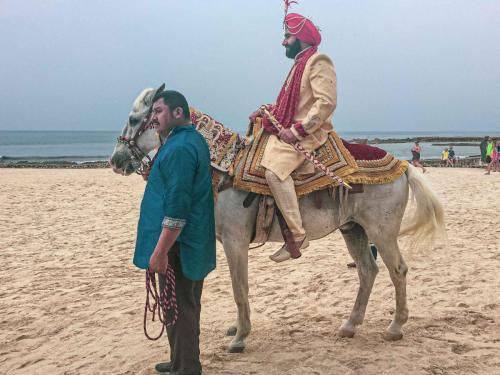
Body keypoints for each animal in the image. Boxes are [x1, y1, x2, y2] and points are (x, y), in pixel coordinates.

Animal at [110, 88, 446, 352]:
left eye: (134, 119)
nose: (115, 160)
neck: (223, 168)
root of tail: (403, 165)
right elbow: (240, 288)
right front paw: (238, 330)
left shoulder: (234, 241)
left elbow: (239, 288)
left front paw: (240, 338)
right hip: (354, 230)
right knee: (368, 271)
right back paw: (350, 325)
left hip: (381, 230)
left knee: (397, 270)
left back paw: (395, 327)